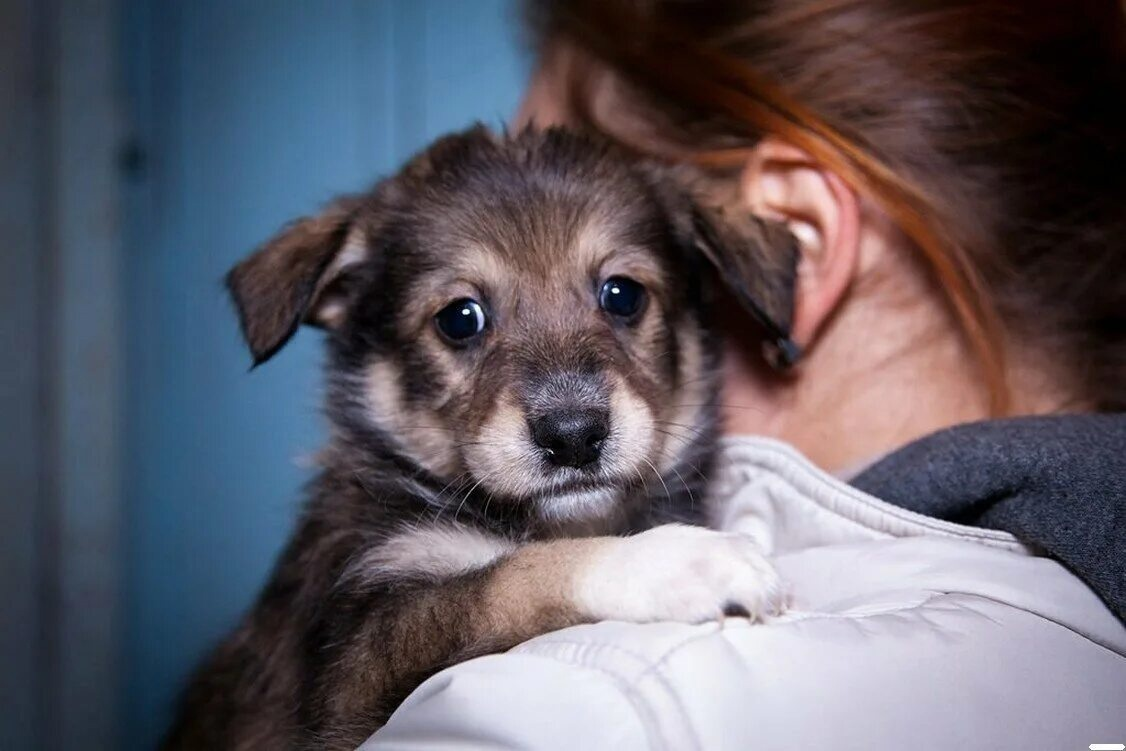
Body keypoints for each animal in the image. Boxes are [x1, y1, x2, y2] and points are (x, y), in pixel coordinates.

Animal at [164, 126, 801, 747]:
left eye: (623, 294)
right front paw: (677, 562)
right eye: (459, 318)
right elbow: (515, 576)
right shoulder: (353, 666)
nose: (573, 436)